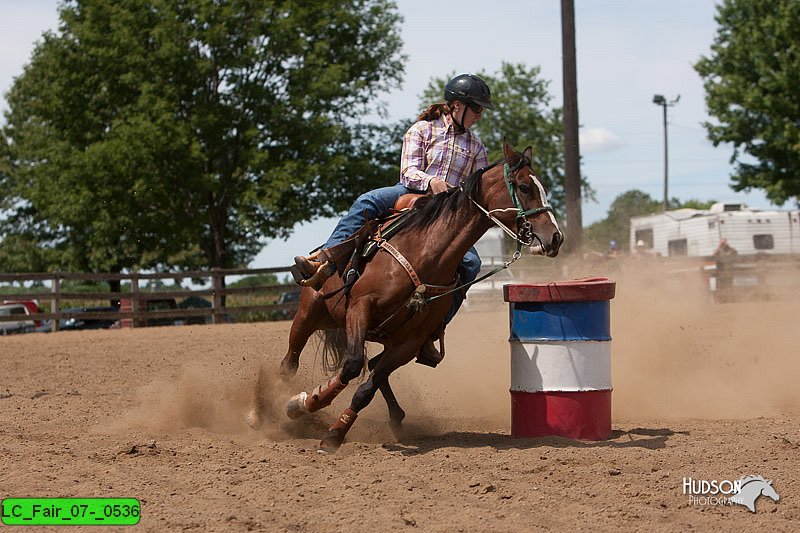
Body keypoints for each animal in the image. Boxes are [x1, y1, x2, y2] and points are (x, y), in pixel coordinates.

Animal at [250, 139, 564, 450]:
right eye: (524, 187)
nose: (555, 238)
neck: (424, 253)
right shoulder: (360, 307)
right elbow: (351, 366)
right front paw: (304, 404)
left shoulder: (410, 341)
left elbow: (366, 387)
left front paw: (335, 432)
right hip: (310, 313)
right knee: (289, 364)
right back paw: (260, 412)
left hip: (377, 335)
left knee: (373, 367)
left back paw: (396, 417)